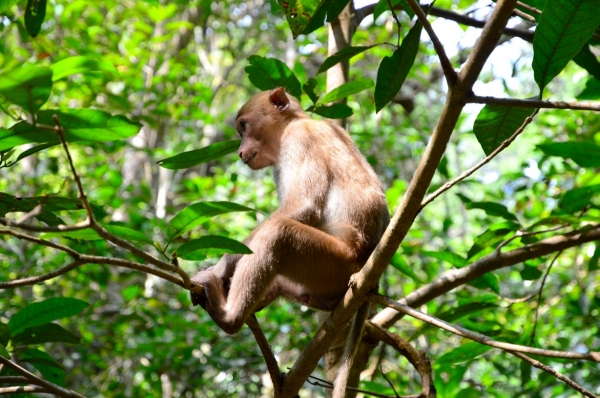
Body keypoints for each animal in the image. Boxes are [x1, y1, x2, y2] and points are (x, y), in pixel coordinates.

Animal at [190, 88, 392, 336]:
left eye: (244, 127)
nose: (239, 151)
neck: (294, 122)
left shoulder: (299, 138)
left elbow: (303, 206)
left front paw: (220, 266)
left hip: (337, 266)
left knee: (277, 234)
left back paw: (229, 318)